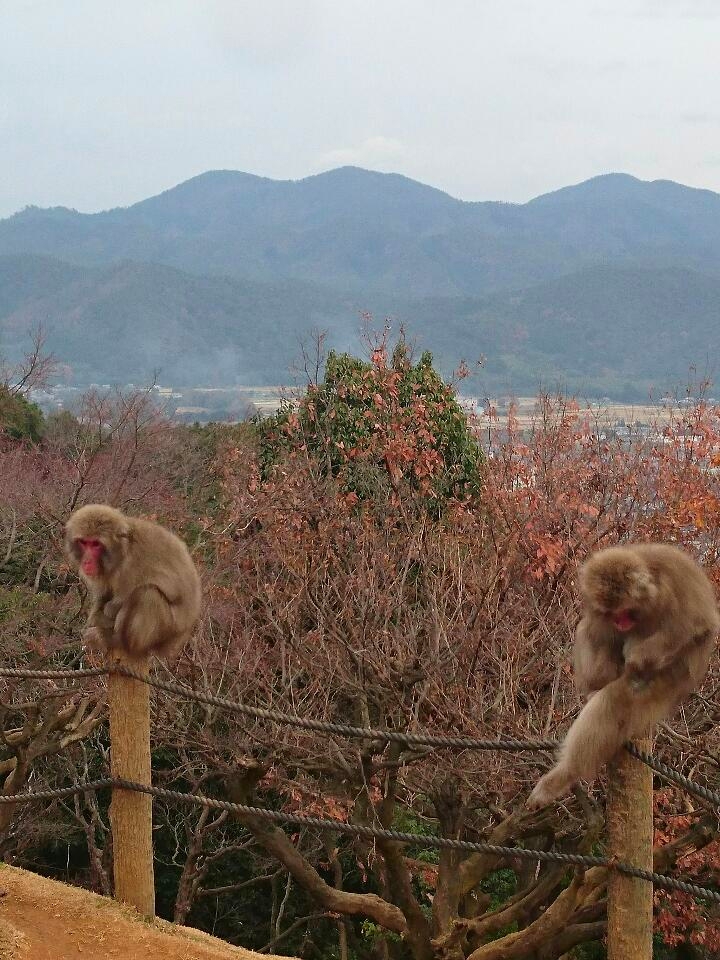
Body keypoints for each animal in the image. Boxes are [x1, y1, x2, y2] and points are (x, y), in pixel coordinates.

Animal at [65, 502, 201, 660]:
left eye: (95, 544)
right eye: (84, 542)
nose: (86, 561)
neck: (122, 552)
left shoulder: (132, 563)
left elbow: (118, 604)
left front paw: (108, 612)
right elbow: (104, 595)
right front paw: (96, 617)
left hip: (169, 630)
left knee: (148, 594)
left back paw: (117, 641)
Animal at [524, 544, 716, 808]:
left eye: (625, 610)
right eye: (612, 612)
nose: (620, 622)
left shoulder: (675, 588)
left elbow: (693, 628)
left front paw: (637, 657)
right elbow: (597, 632)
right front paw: (599, 676)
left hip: (668, 682)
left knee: (618, 697)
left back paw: (564, 774)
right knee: (589, 632)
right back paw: (596, 684)